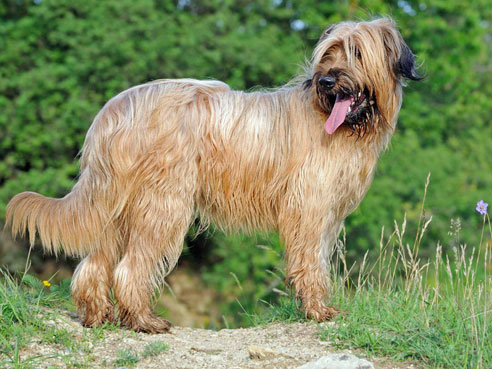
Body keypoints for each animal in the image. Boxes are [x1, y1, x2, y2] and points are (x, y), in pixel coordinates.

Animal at [4, 18, 418, 332]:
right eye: (329, 53)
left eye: (357, 53)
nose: (326, 82)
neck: (336, 122)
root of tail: (115, 109)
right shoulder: (310, 208)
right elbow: (311, 263)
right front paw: (317, 310)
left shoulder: (326, 214)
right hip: (164, 203)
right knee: (131, 266)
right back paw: (143, 320)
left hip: (117, 202)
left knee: (95, 262)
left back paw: (96, 314)